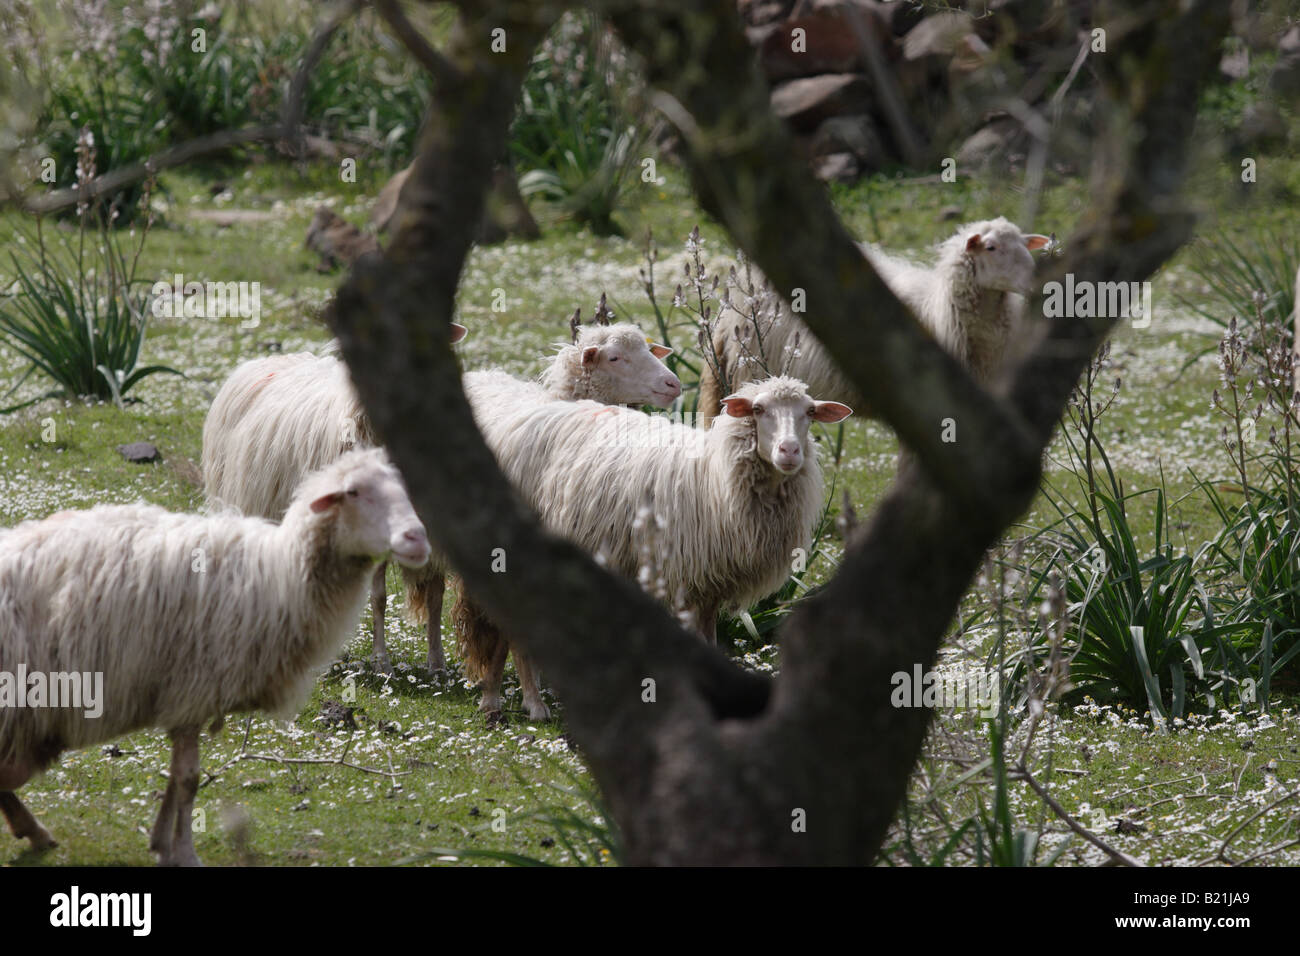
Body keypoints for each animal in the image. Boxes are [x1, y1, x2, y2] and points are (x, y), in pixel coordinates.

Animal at [0, 448, 430, 865]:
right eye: (354, 492)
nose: (417, 538)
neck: (283, 575)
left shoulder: (187, 698)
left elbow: (177, 777)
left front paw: (161, 842)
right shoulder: (194, 688)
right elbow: (188, 779)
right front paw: (184, 852)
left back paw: (34, 832)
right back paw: (33, 830)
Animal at [202, 322, 680, 675]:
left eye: (647, 350)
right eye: (615, 357)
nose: (674, 384)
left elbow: (434, 597)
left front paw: (437, 664)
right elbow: (379, 596)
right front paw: (383, 662)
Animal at [454, 373, 852, 719]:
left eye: (810, 412)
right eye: (758, 409)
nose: (790, 451)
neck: (715, 479)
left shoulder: (709, 586)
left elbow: (710, 642)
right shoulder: (683, 580)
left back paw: (499, 698)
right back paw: (527, 704)